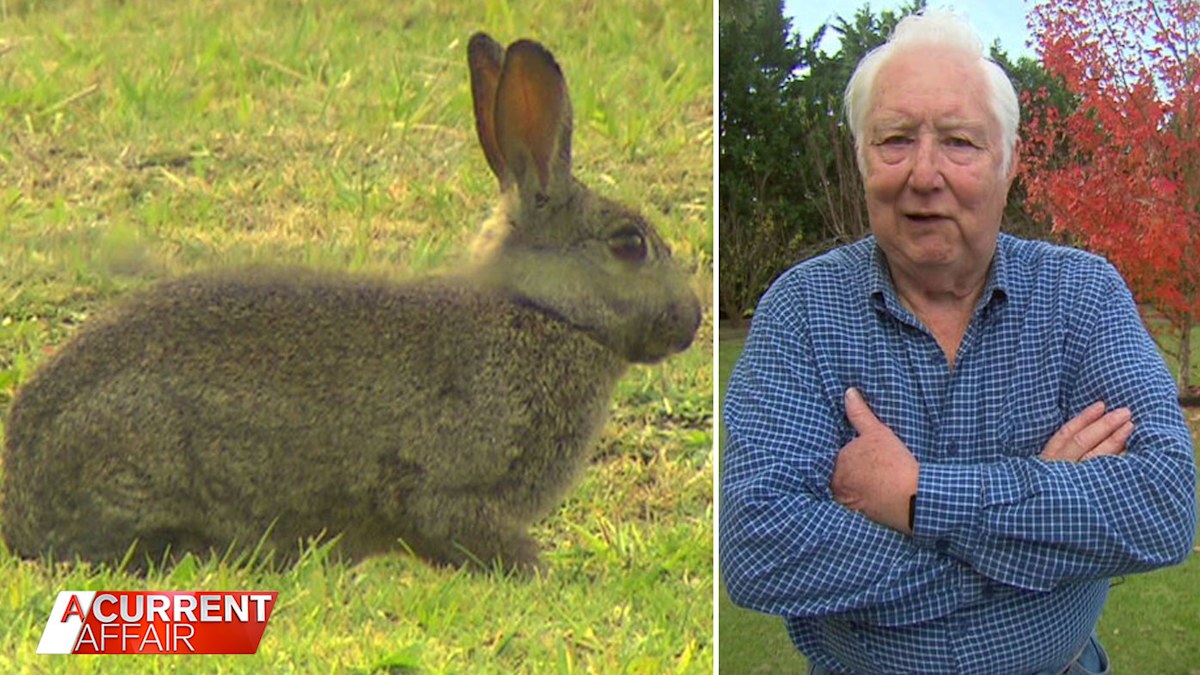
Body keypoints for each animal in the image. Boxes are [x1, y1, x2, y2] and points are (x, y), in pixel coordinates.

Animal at [1, 33, 702, 574]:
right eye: (630, 244)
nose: (692, 321)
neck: (541, 311)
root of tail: (18, 503)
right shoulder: (449, 485)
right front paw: (535, 572)